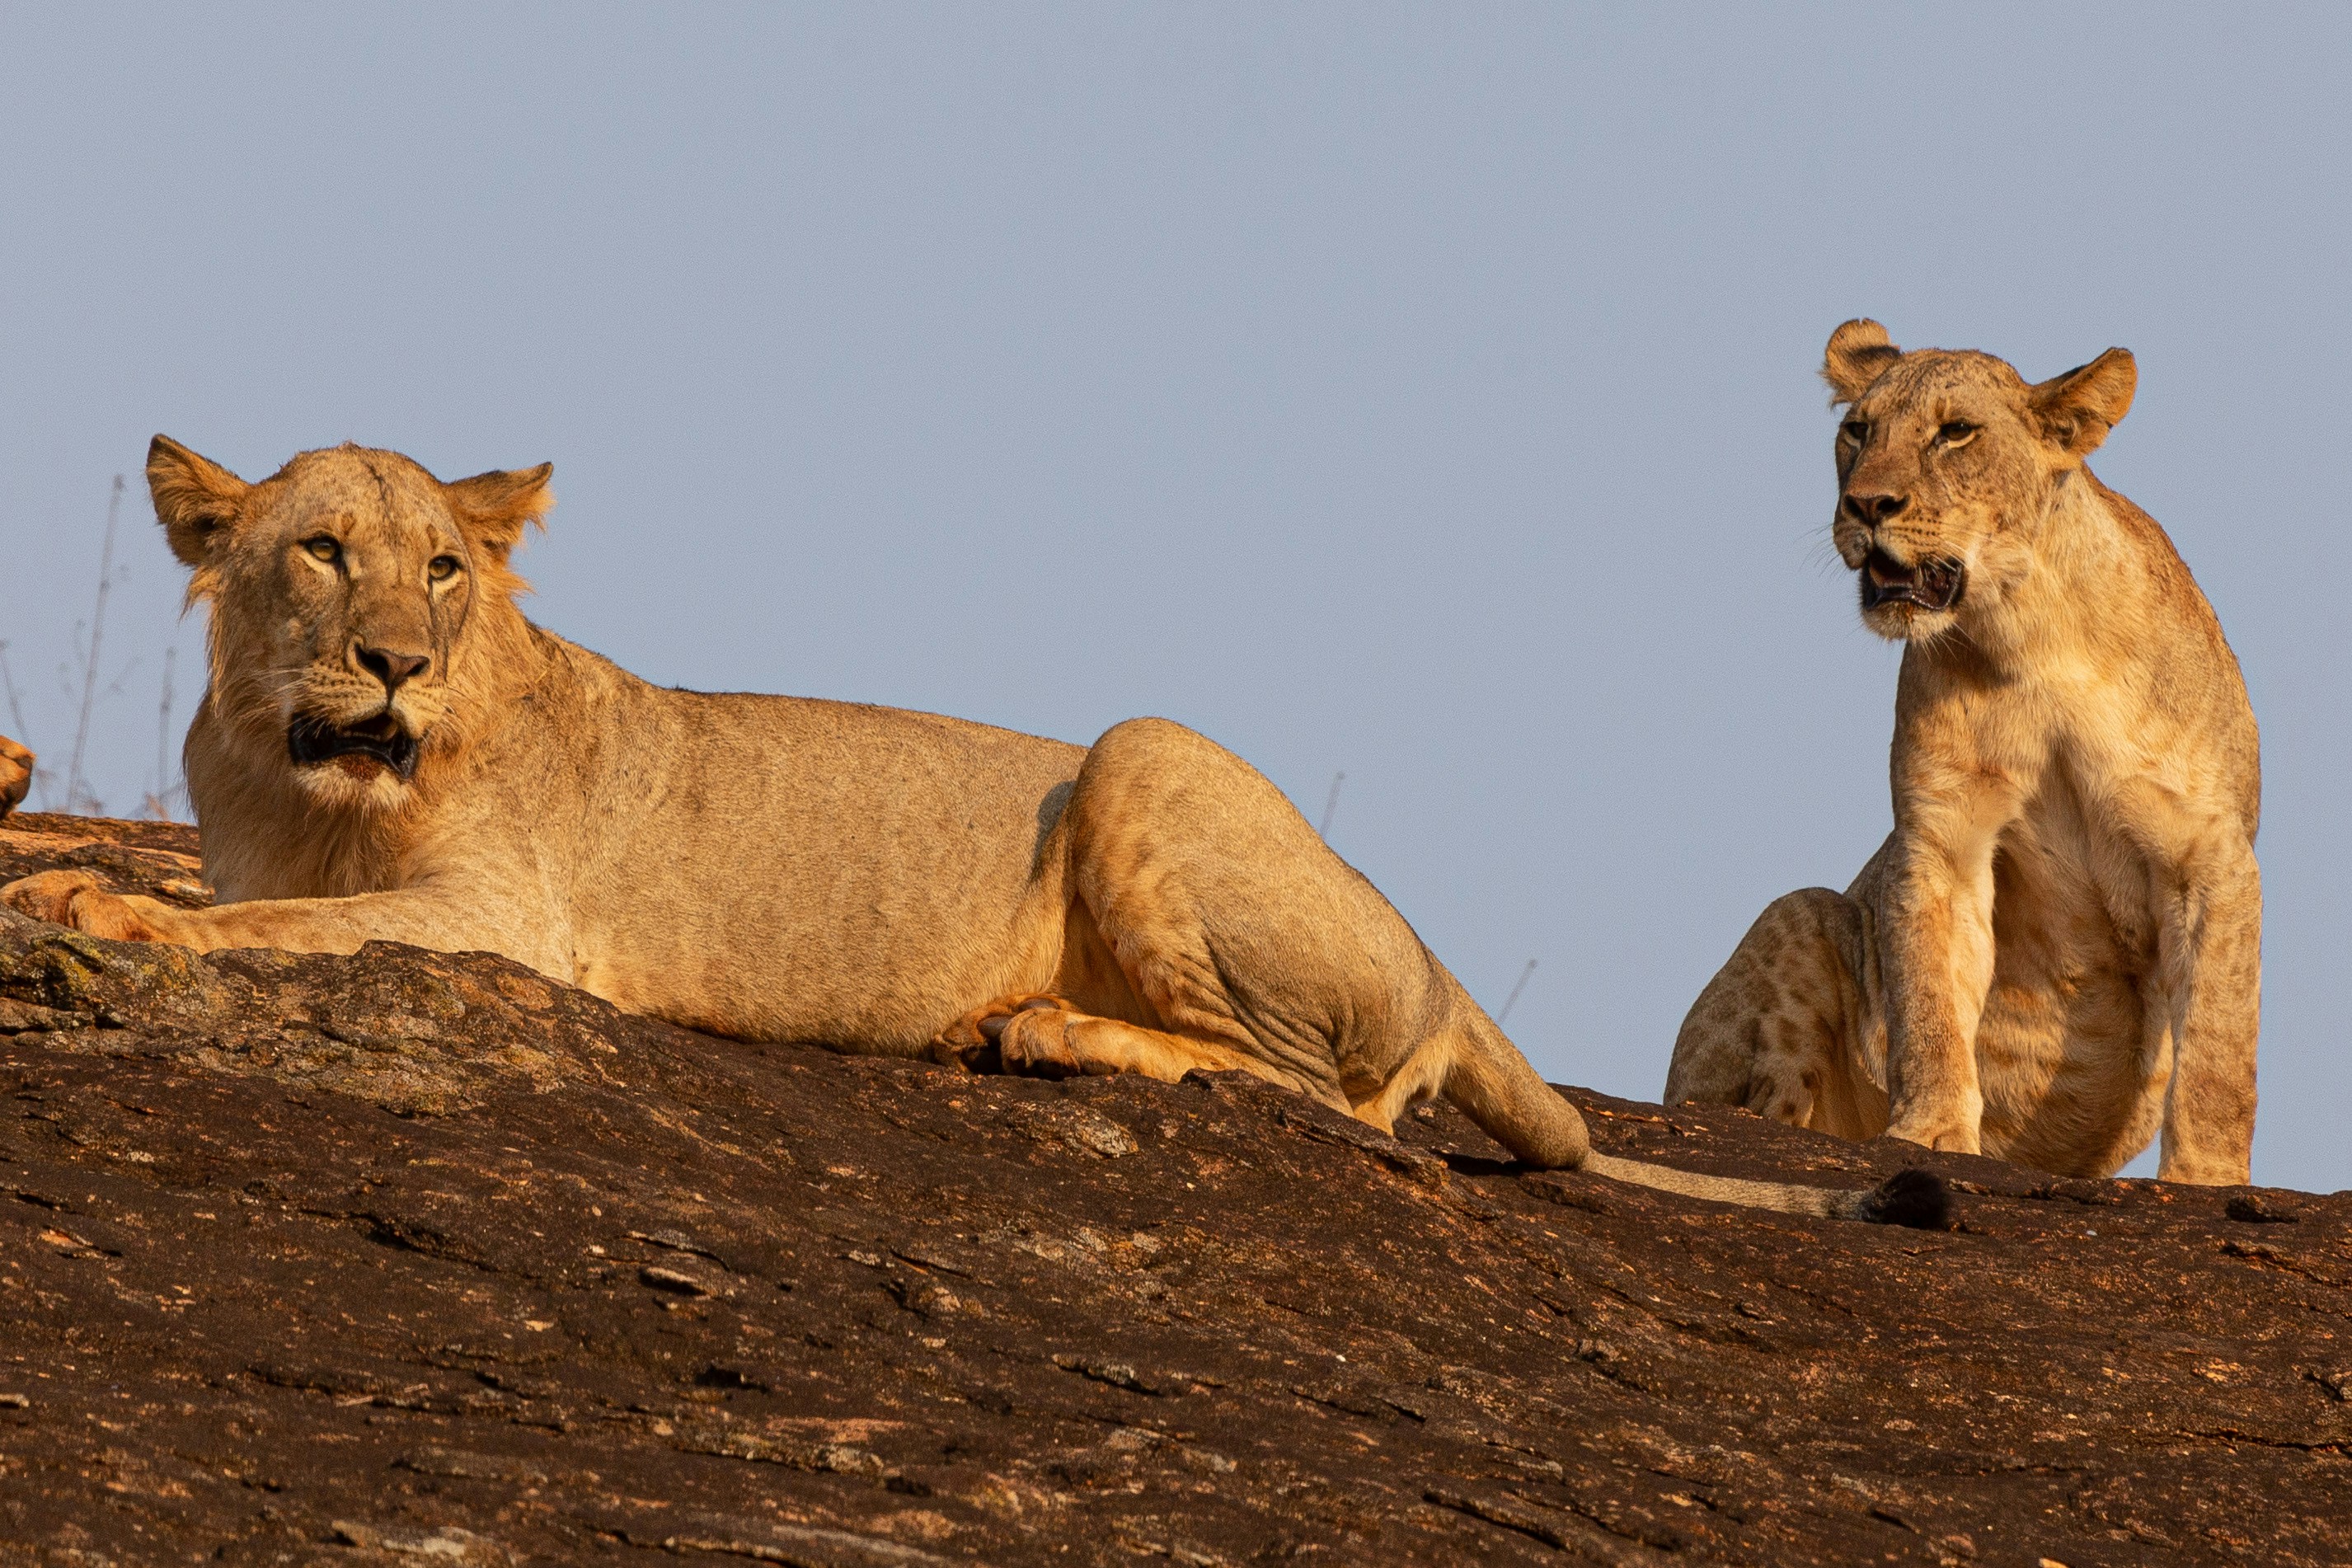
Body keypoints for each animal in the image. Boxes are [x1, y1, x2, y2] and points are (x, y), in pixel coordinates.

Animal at [0, 437, 1943, 1226]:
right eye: (323, 552)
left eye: (447, 569)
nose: (398, 660)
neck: (311, 775)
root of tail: (1452, 970)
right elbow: (240, 899)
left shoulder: (506, 922)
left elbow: (266, 933)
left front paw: (104, 911)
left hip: (1143, 754)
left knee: (1315, 1094)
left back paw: (1035, 1030)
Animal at [1665, 322, 2260, 1185]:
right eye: (1857, 430)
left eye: (1954, 433)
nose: (1866, 504)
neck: (2029, 633)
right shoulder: (1941, 836)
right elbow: (1930, 1002)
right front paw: (1934, 1133)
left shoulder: (2206, 852)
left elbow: (2219, 1038)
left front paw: (2205, 1179)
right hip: (1799, 912)